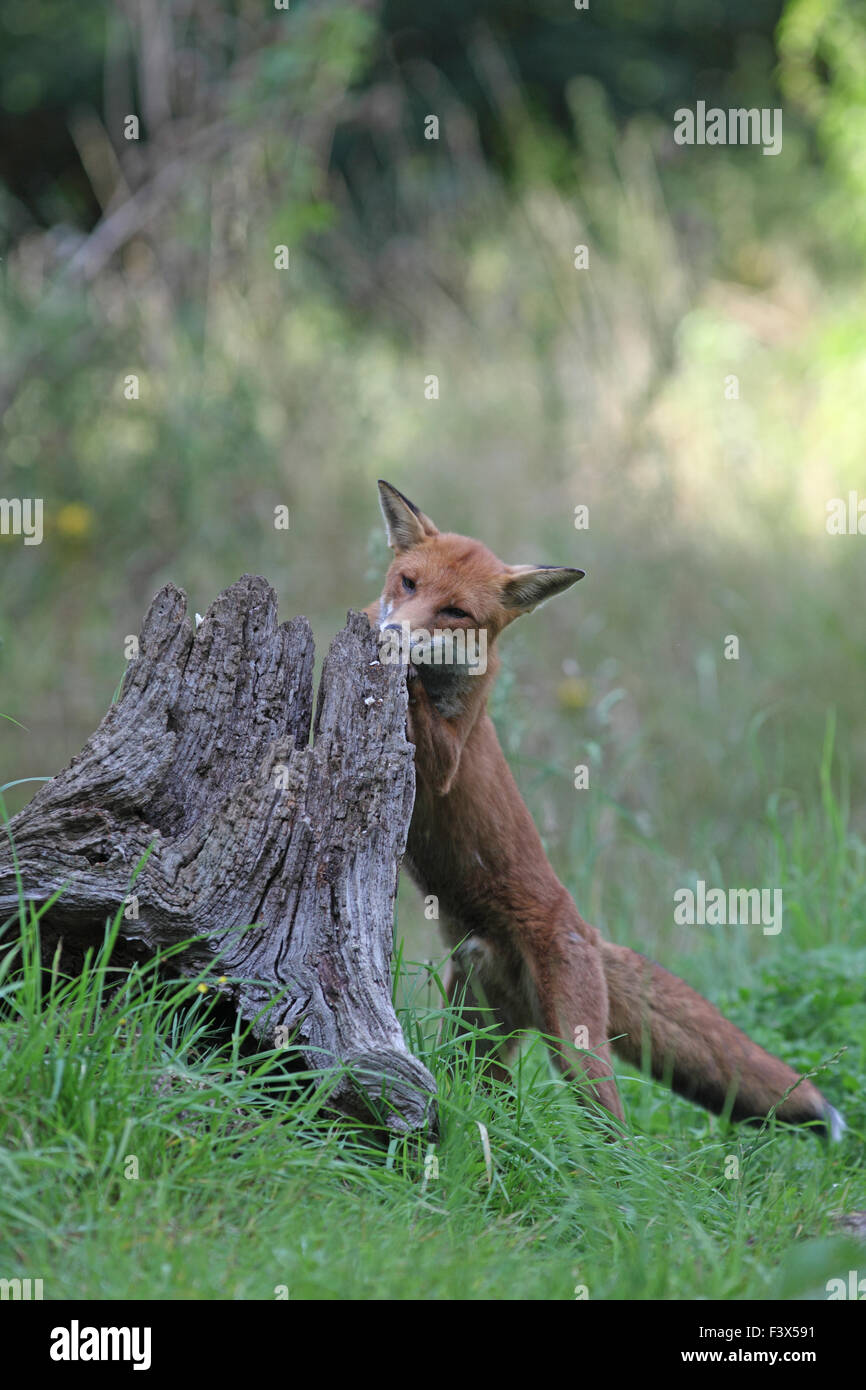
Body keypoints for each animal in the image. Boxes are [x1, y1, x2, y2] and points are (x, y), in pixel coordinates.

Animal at [366, 483, 845, 1134]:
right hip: (474, 1034)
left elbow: (422, 713)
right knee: (487, 1092)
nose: (396, 632)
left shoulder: (446, 763)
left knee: (616, 1133)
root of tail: (588, 930)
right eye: (409, 583)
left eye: (455, 613)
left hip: (577, 1054)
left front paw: (396, 658)